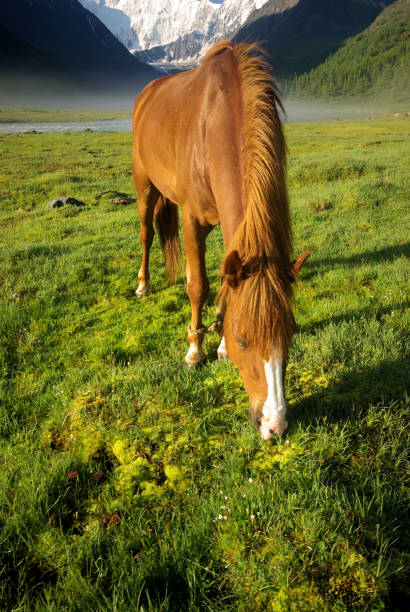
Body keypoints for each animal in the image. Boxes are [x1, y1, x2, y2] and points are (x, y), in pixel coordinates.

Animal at [133, 40, 310, 438]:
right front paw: (195, 349)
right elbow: (198, 286)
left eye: (290, 334)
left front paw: (221, 346)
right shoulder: (191, 220)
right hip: (144, 184)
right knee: (146, 234)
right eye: (245, 339)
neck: (215, 127)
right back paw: (143, 285)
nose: (274, 424)